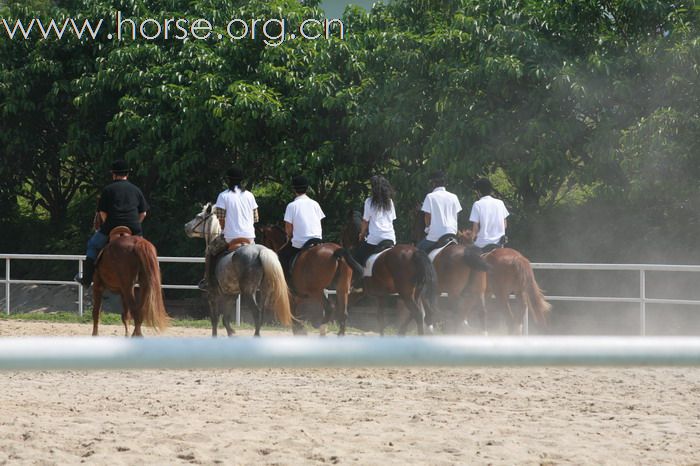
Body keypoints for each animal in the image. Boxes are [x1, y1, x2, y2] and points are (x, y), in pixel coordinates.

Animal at [183, 203, 292, 334]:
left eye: (198, 216)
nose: (186, 226)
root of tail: (261, 252)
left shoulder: (212, 296)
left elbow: (215, 320)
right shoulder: (231, 295)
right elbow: (225, 320)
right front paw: (232, 333)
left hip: (248, 292)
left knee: (256, 313)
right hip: (264, 291)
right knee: (262, 313)